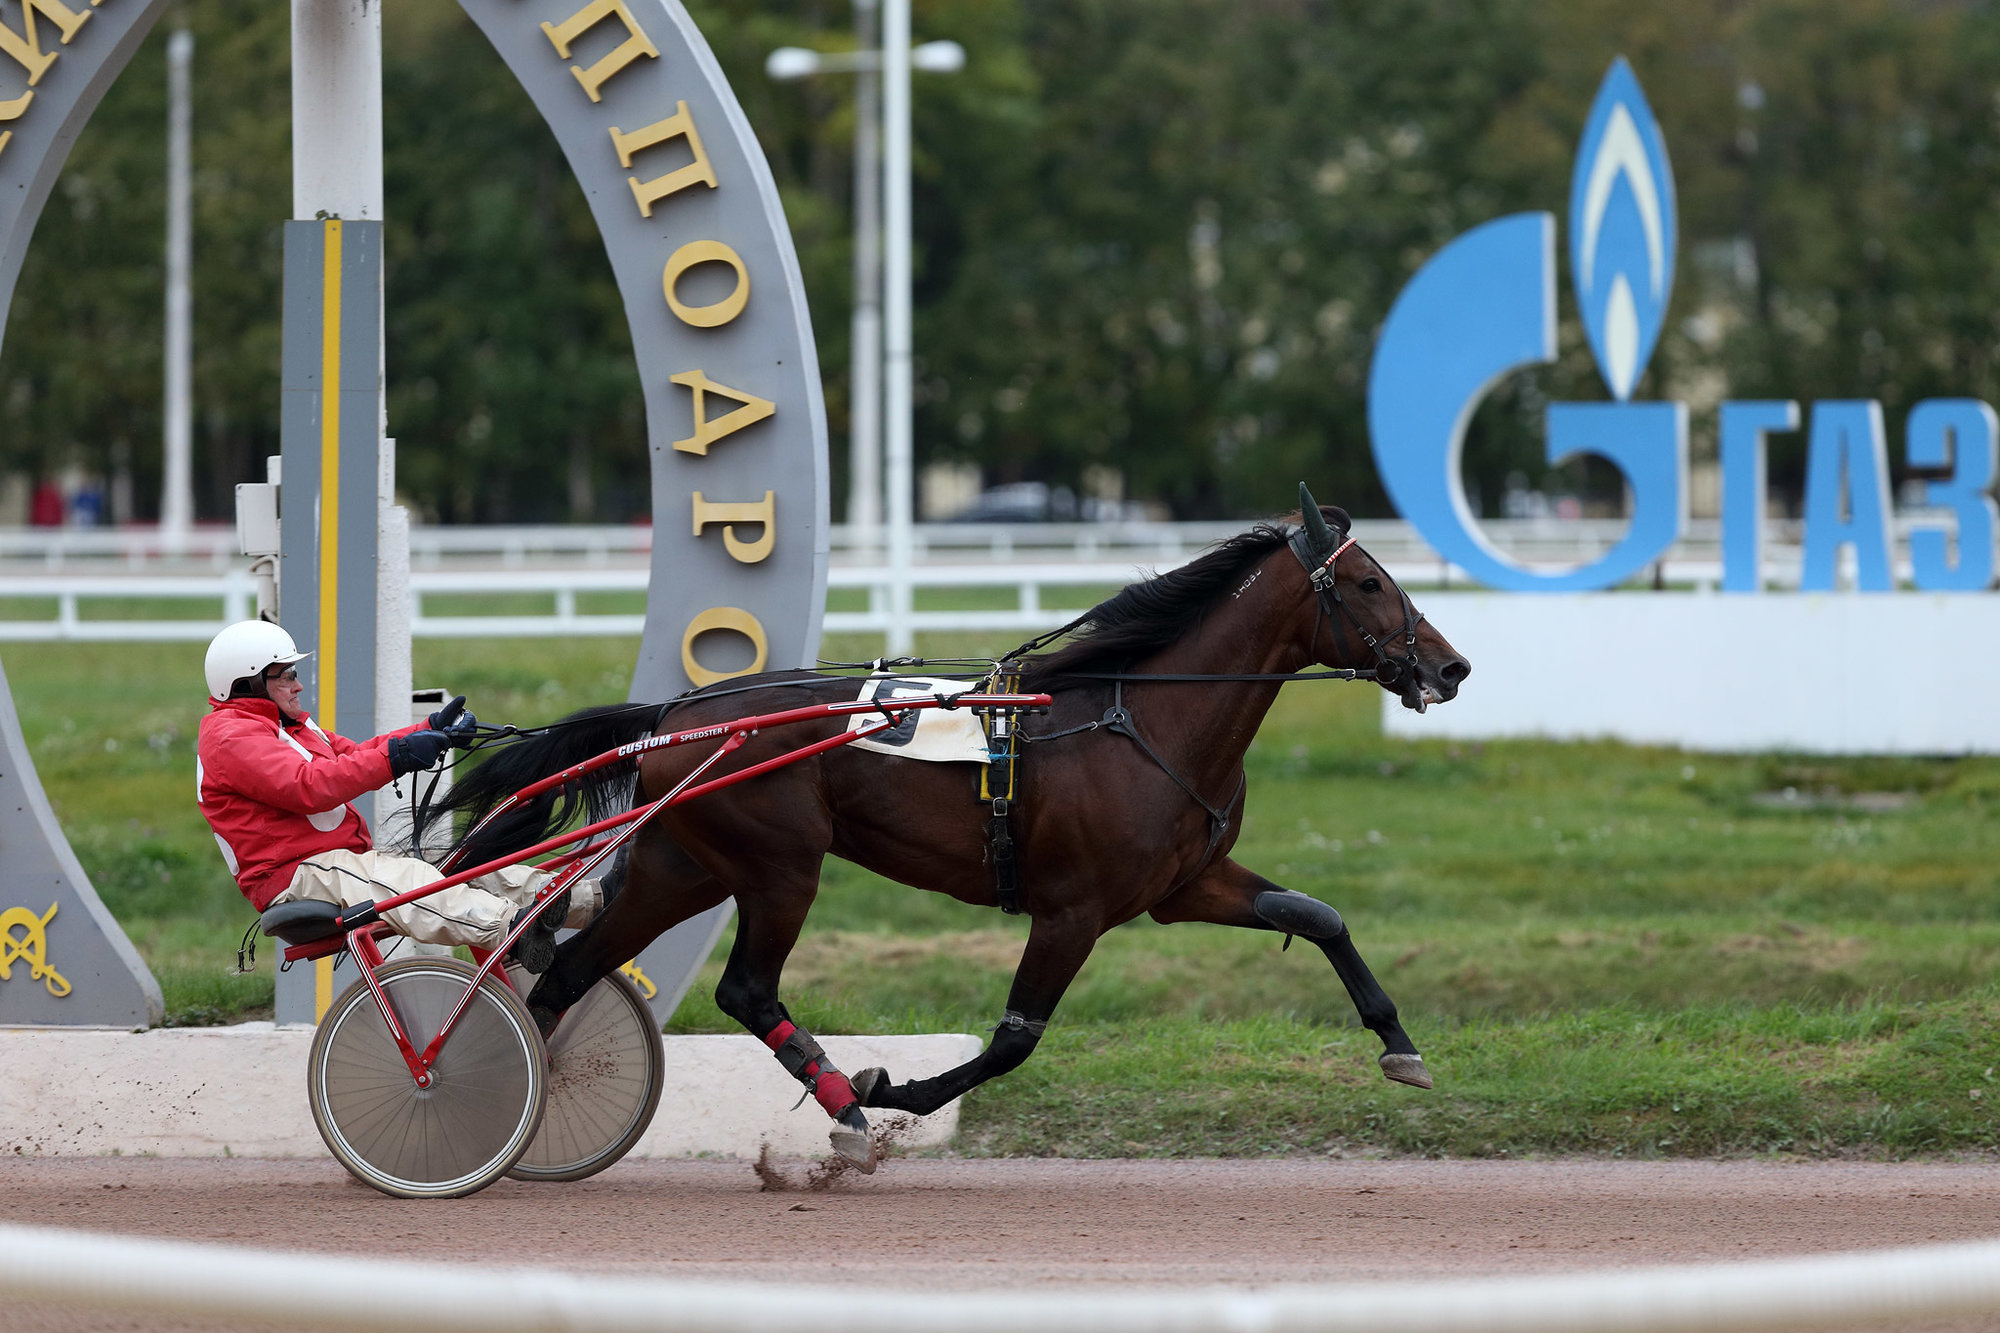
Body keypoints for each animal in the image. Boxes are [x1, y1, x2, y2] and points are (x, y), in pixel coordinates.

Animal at [438, 488, 1472, 1160]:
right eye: (1370, 583)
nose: (1451, 666)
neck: (1142, 718)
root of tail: (678, 713)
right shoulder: (1073, 908)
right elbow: (1014, 1038)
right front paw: (896, 1095)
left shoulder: (1183, 885)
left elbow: (1318, 916)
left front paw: (1400, 1045)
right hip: (780, 864)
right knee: (744, 988)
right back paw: (845, 1106)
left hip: (681, 865)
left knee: (570, 968)